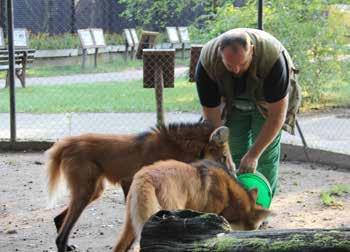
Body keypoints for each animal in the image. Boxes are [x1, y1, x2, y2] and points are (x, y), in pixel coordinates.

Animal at [45, 123, 234, 251]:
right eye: (224, 157)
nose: (233, 174)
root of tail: (67, 142)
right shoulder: (131, 181)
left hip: (95, 191)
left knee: (58, 219)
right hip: (87, 191)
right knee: (62, 234)